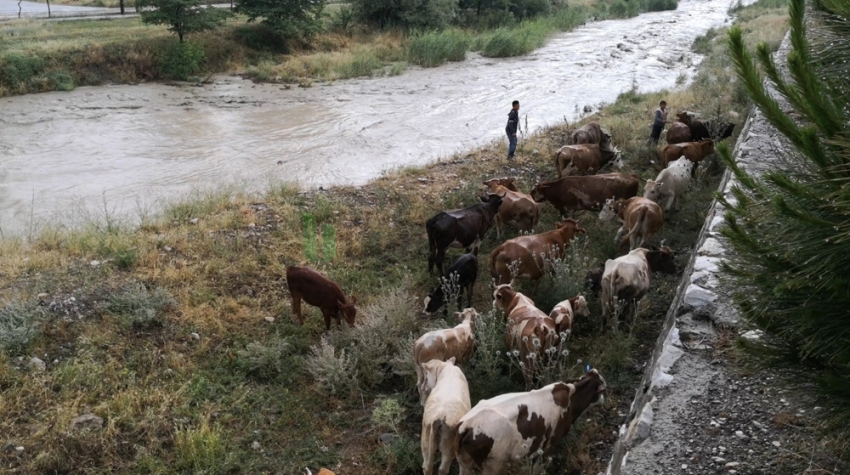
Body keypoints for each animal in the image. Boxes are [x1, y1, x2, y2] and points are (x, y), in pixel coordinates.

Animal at [454, 372, 608, 475]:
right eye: (603, 390)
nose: (603, 401)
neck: (571, 400)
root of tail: (466, 424)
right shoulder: (549, 445)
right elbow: (539, 467)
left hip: (464, 462)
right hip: (492, 464)